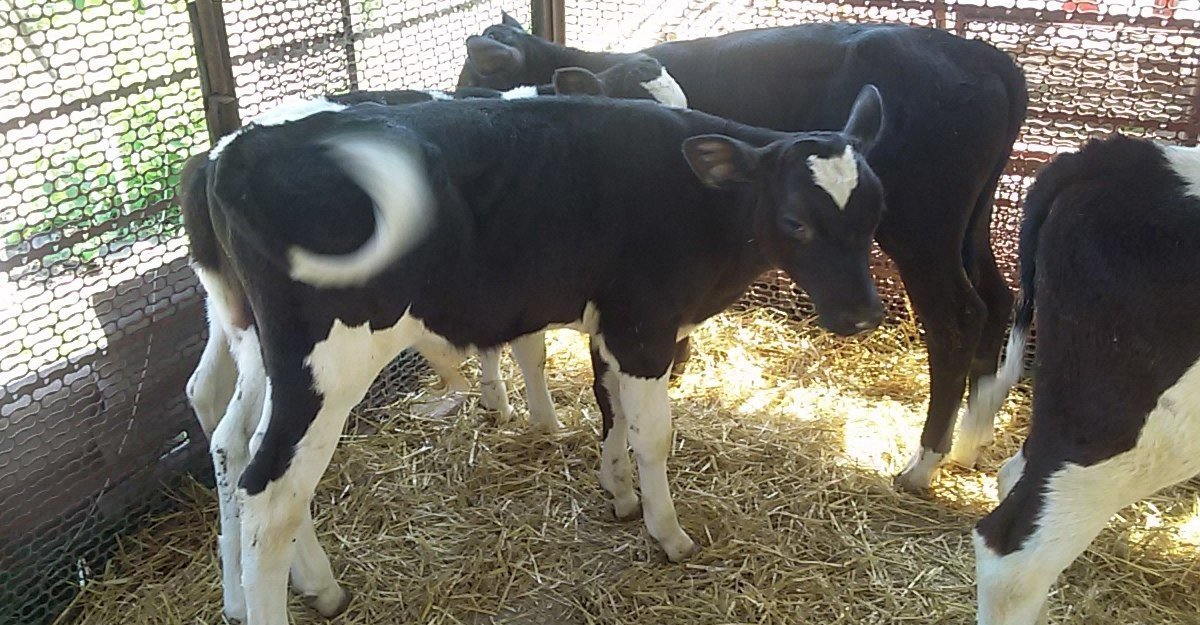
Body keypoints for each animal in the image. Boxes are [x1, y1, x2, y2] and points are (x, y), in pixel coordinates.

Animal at [189, 88, 892, 623]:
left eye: (875, 214)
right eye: (797, 221)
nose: (863, 313)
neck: (697, 202)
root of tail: (232, 151)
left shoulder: (611, 324)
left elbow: (611, 409)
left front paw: (618, 491)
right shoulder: (644, 325)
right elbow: (653, 433)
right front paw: (667, 531)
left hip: (257, 346)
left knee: (234, 439)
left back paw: (299, 588)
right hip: (327, 364)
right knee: (270, 493)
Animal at [458, 13, 1032, 487]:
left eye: (478, 69)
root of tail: (985, 55)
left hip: (923, 229)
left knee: (958, 317)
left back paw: (923, 463)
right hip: (970, 221)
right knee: (997, 298)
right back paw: (971, 441)